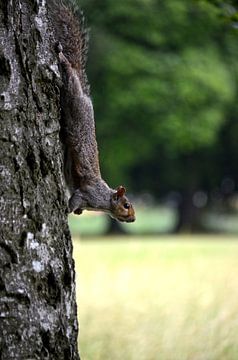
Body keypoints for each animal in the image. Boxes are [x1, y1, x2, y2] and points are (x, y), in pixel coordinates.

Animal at [48, 0, 136, 222]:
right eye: (126, 205)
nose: (133, 219)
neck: (105, 201)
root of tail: (86, 98)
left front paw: (77, 212)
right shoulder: (87, 194)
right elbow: (75, 198)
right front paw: (67, 210)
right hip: (73, 99)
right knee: (68, 70)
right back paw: (61, 56)